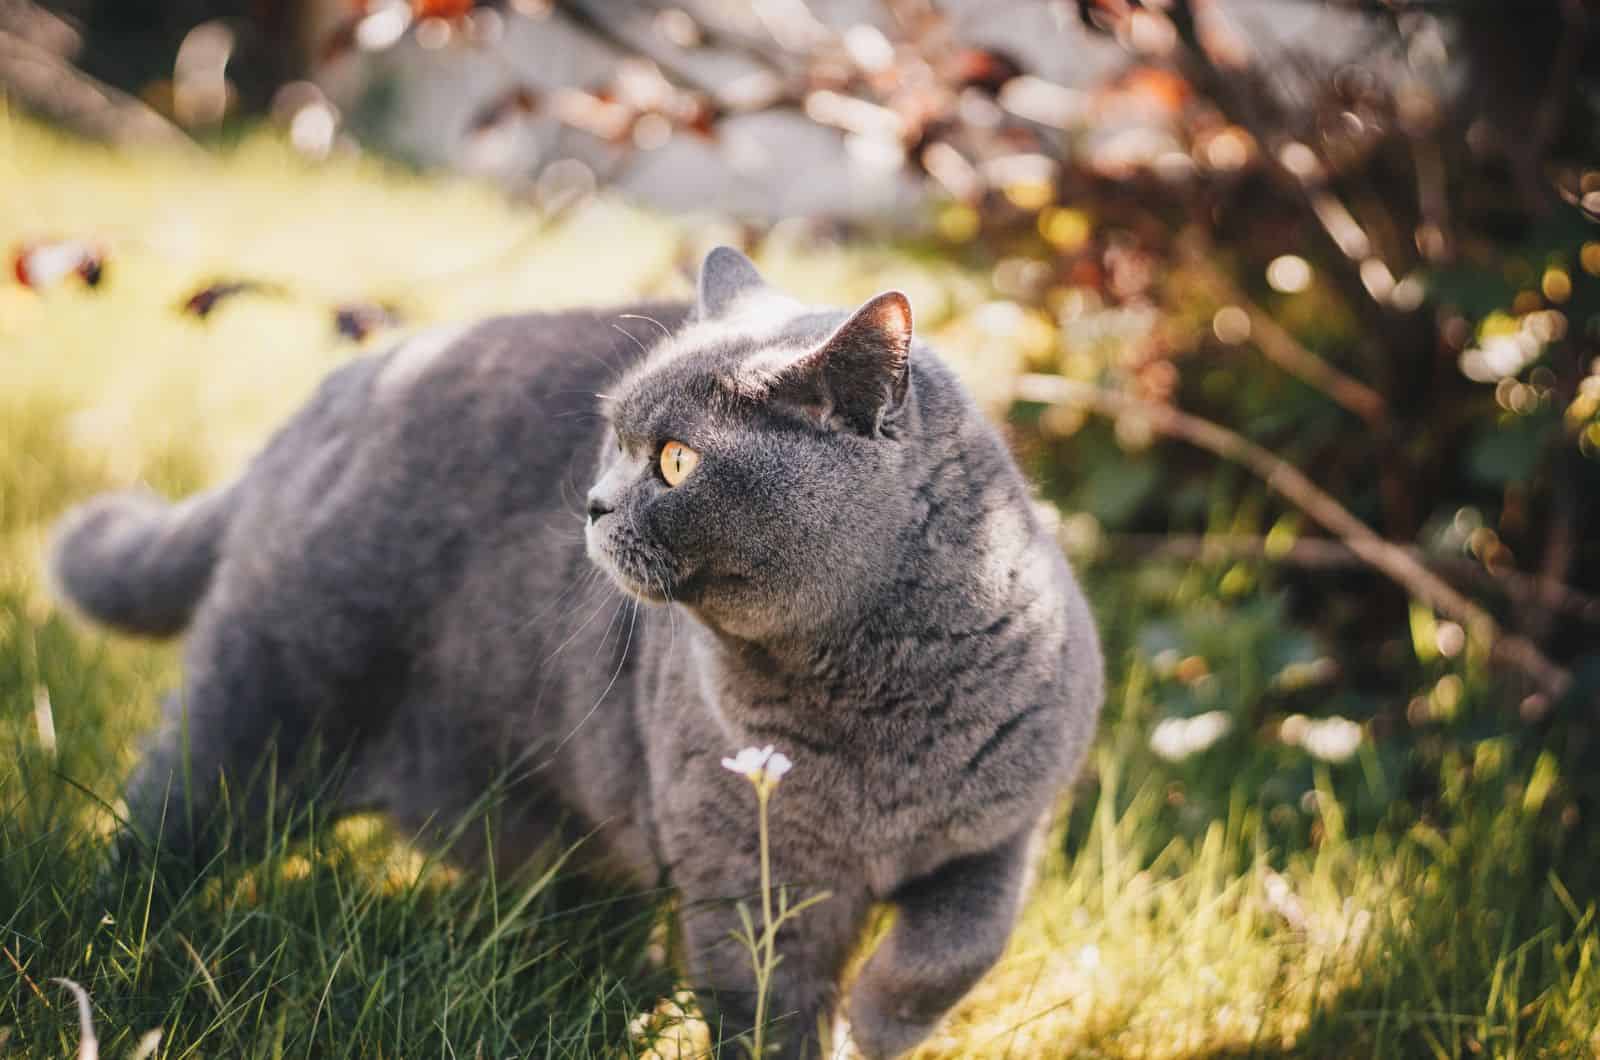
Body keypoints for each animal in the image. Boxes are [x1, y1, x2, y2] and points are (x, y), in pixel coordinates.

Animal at [50, 246, 1100, 1056]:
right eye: (614, 443)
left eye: (676, 459)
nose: (592, 504)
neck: (872, 708)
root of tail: (350, 382)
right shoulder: (744, 878)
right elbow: (768, 1009)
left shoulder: (1005, 827)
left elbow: (958, 947)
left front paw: (883, 1024)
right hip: (264, 699)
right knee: (167, 815)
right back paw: (109, 944)